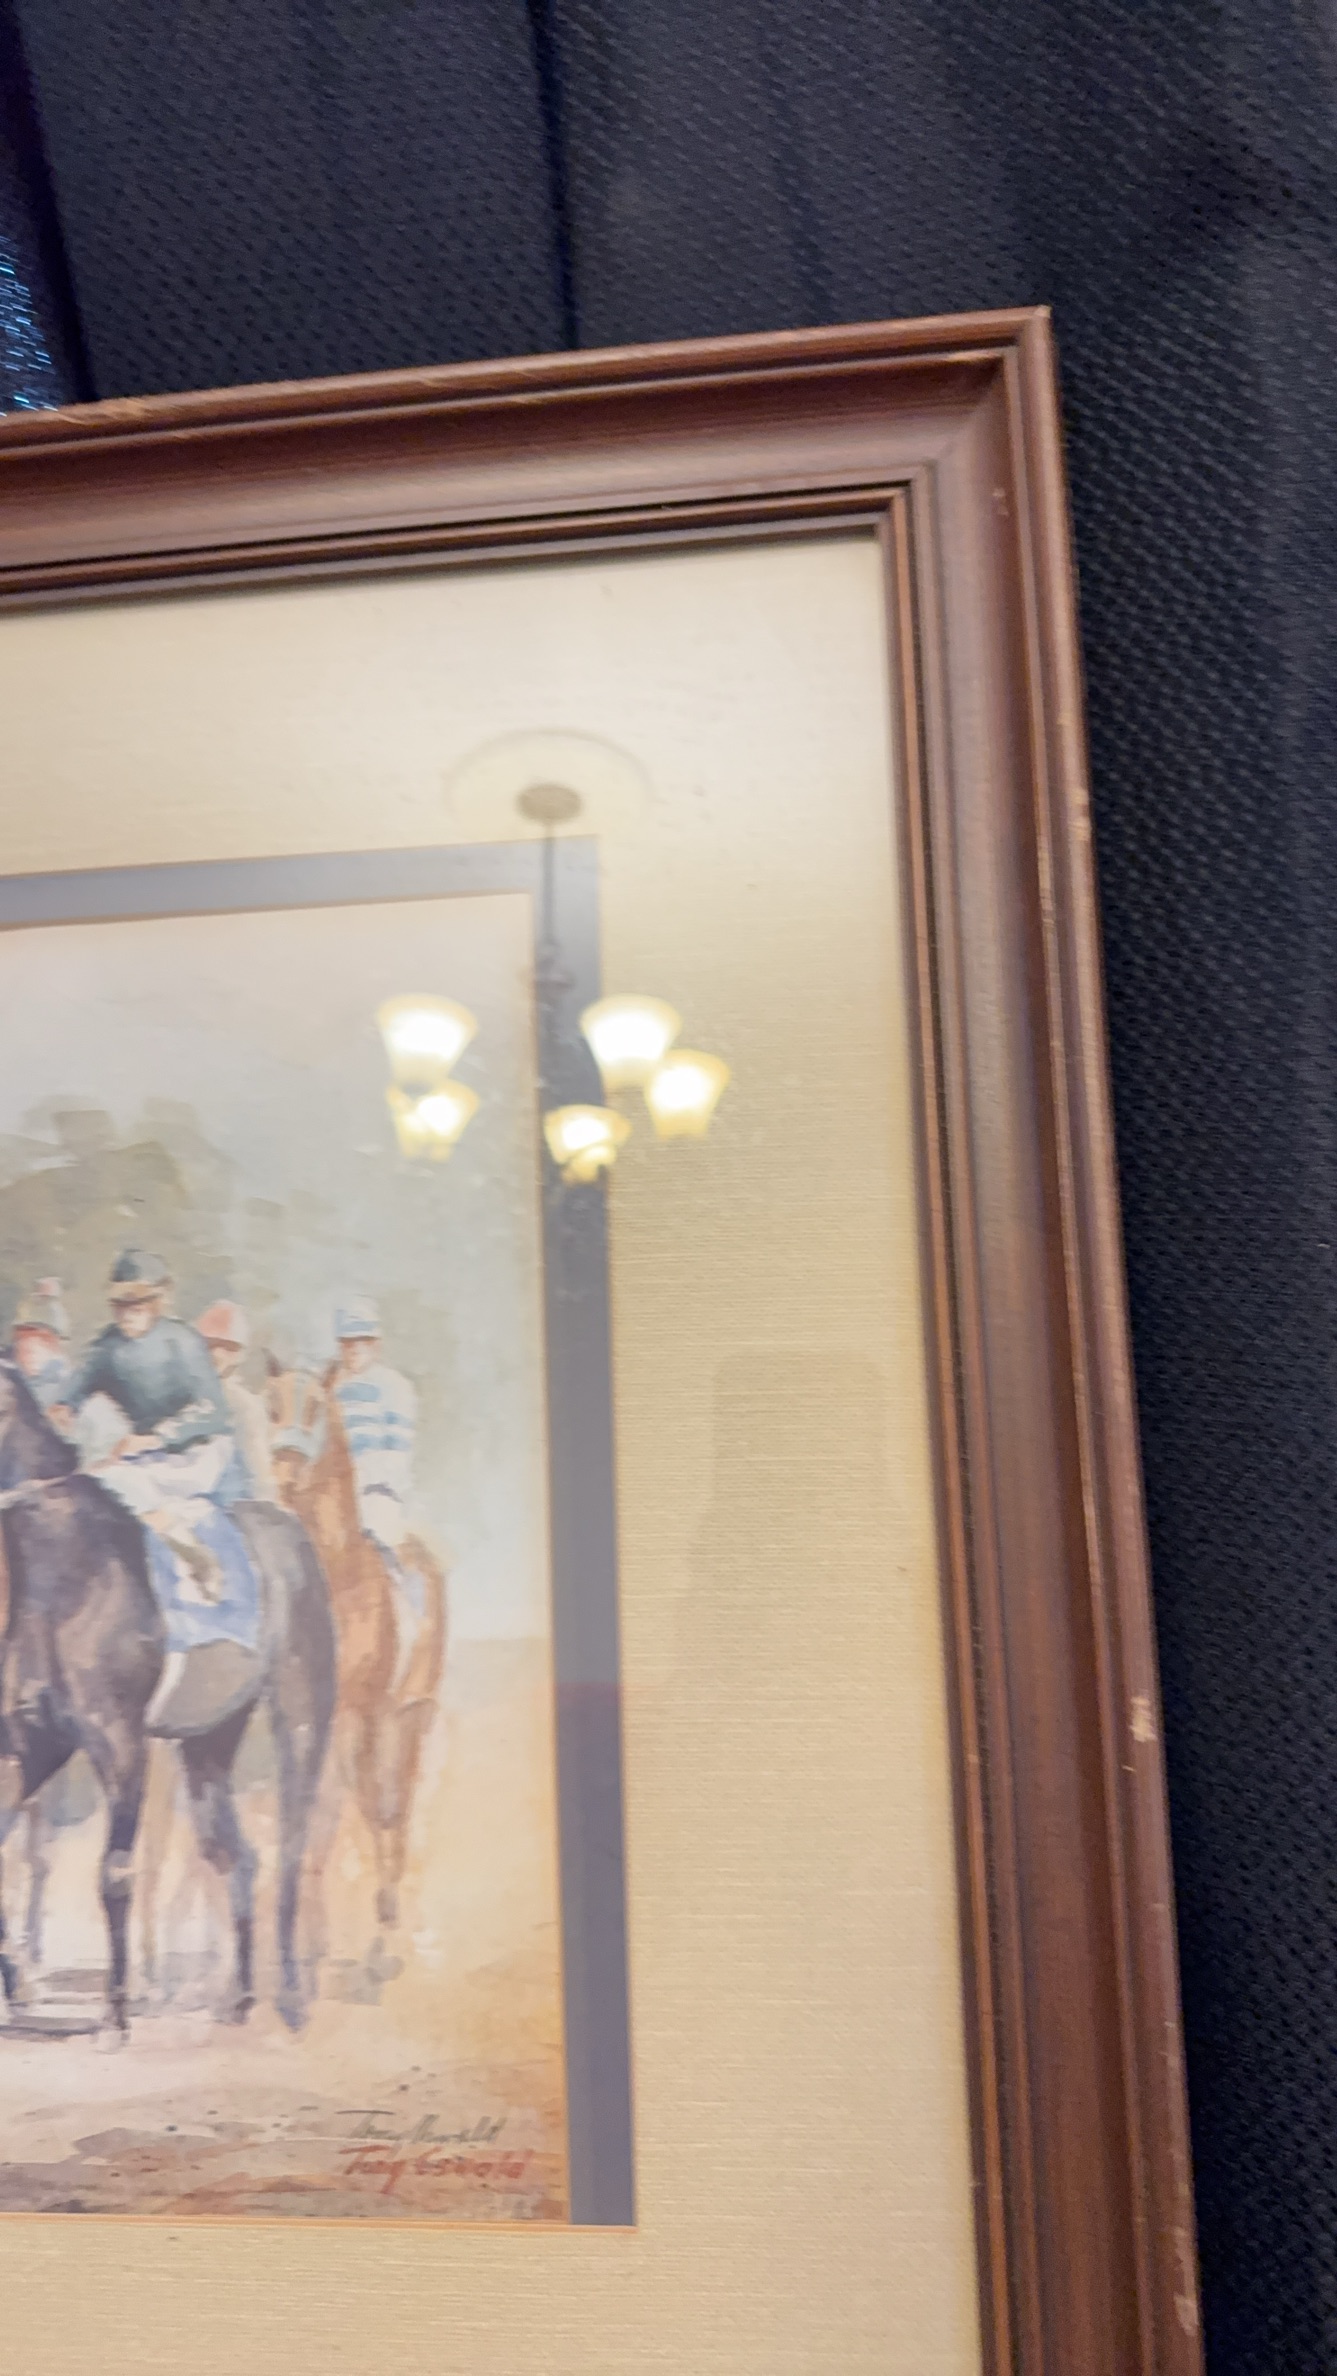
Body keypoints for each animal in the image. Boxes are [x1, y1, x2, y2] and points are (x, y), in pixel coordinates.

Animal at [0, 1358, 335, 2036]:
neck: (67, 1576)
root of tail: (291, 1530)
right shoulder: (30, 1744)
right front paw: (17, 1983)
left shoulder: (120, 1743)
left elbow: (115, 1872)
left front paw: (114, 2014)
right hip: (210, 1736)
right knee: (239, 1855)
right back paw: (239, 1997)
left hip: (301, 1716)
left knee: (291, 1848)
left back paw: (289, 1997)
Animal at [264, 1361, 446, 1980]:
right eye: (271, 1406)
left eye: (317, 1407)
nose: (284, 1474)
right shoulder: (305, 1715)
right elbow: (310, 1810)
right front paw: (307, 1941)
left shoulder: (356, 1711)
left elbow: (354, 1808)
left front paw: (369, 1937)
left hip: (410, 1713)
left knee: (396, 1805)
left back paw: (387, 1920)